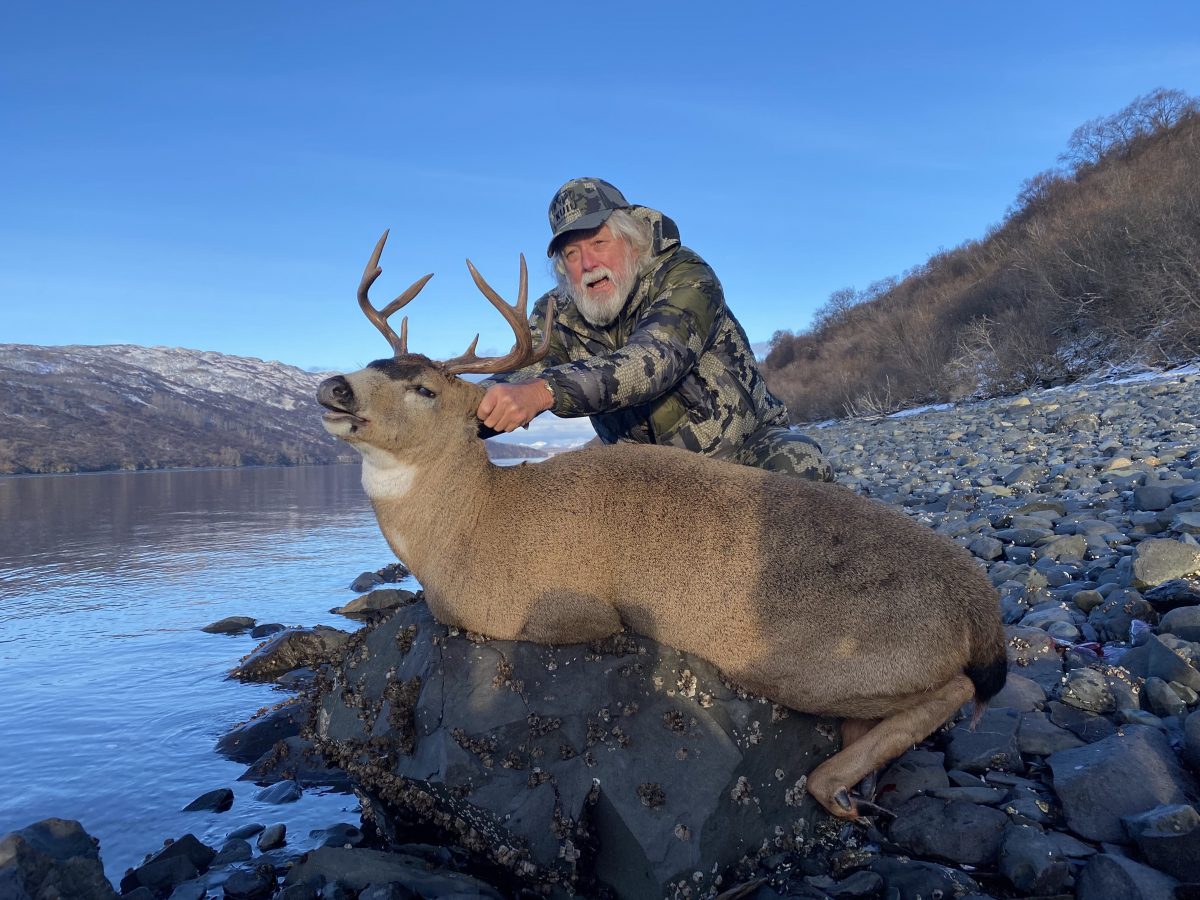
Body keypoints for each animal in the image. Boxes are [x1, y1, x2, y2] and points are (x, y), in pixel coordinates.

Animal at [316, 231, 1008, 822]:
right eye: (373, 361)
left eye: (426, 390)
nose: (334, 386)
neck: (471, 525)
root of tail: (983, 614)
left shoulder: (555, 611)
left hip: (809, 662)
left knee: (955, 692)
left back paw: (834, 788)